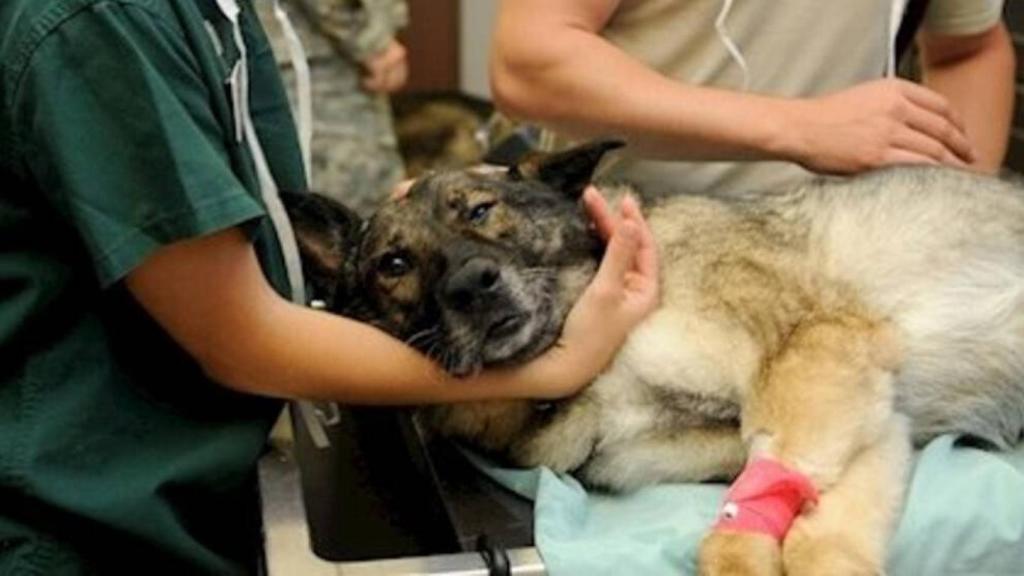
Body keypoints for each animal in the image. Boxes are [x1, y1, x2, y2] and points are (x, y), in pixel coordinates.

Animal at [284, 140, 1024, 573]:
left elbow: (766, 528)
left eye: (481, 210)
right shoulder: (867, 418)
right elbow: (815, 529)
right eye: (394, 264)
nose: (473, 285)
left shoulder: (819, 353)